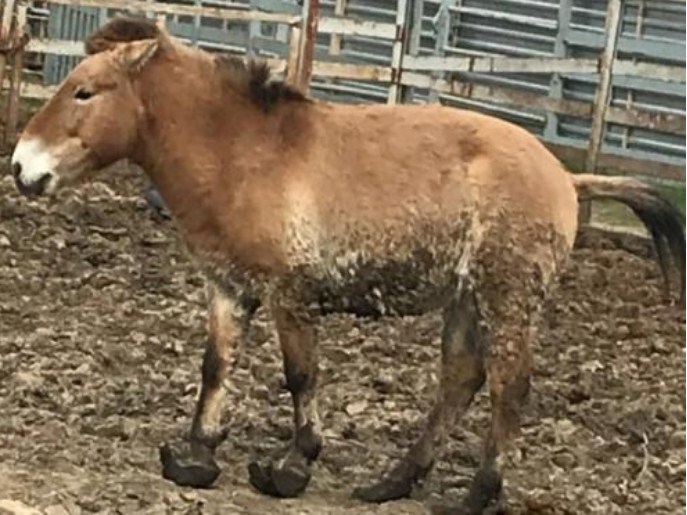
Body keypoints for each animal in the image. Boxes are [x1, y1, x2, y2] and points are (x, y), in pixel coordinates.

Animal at [10, 18, 684, 514]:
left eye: (84, 91)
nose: (22, 167)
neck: (245, 154)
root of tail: (567, 177)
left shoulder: (290, 295)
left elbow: (300, 376)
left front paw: (290, 467)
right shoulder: (228, 288)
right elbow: (215, 369)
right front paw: (196, 458)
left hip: (507, 298)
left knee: (507, 388)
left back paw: (474, 496)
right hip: (465, 300)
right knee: (460, 381)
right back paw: (394, 482)